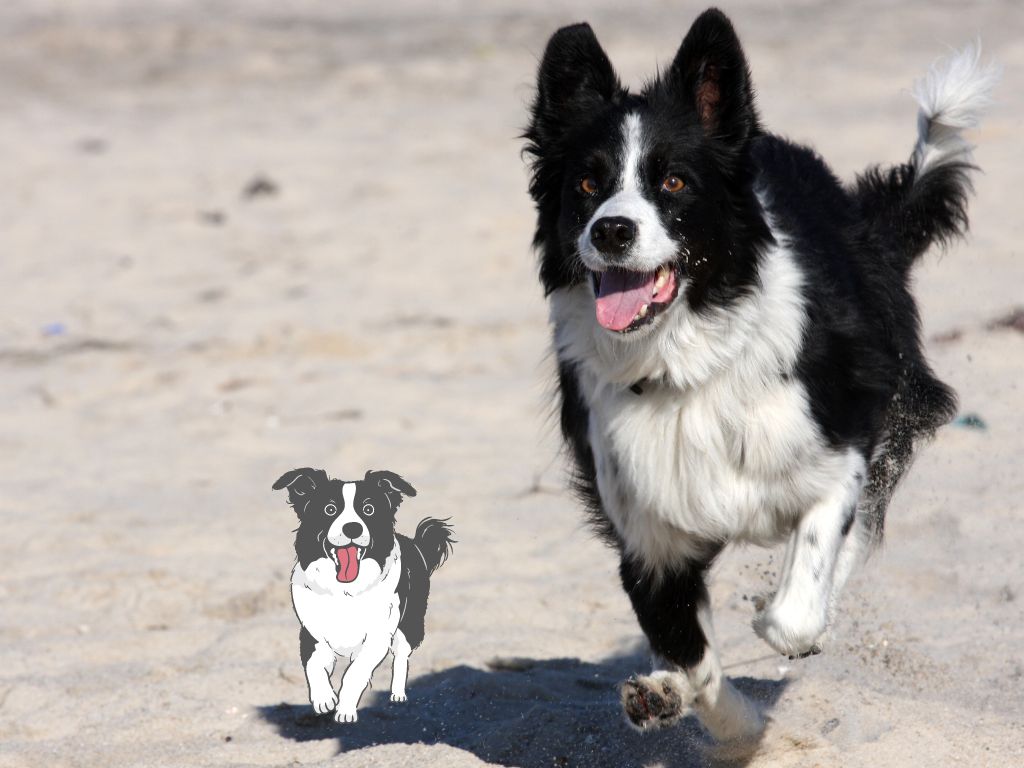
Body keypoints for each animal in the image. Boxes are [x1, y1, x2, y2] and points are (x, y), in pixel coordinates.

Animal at [272, 466, 452, 724]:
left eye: (369, 509)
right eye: (329, 509)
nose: (352, 527)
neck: (345, 591)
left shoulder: (377, 638)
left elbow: (354, 673)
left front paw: (345, 710)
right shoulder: (312, 634)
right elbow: (313, 666)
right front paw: (324, 699)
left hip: (410, 623)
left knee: (401, 656)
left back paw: (398, 695)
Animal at [524, 7, 995, 745]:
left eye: (674, 182)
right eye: (588, 183)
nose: (612, 231)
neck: (684, 362)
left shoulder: (838, 451)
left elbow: (797, 602)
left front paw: (791, 618)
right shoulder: (647, 537)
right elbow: (692, 657)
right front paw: (712, 716)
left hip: (893, 392)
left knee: (863, 525)